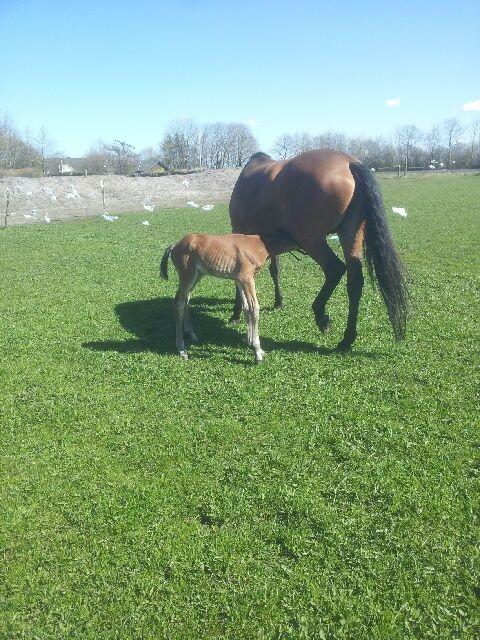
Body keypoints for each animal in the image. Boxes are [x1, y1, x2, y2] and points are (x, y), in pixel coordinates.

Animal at [160, 232, 288, 362]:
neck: (259, 244)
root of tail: (175, 245)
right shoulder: (247, 278)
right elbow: (254, 308)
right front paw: (257, 352)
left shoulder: (240, 279)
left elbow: (246, 307)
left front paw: (252, 344)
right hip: (187, 275)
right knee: (178, 304)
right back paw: (181, 348)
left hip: (197, 275)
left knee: (185, 299)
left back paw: (191, 334)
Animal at [230, 149, 408, 350]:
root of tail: (349, 163)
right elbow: (275, 271)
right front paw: (278, 302)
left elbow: (240, 277)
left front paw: (236, 313)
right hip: (350, 234)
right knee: (355, 280)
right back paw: (347, 338)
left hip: (312, 240)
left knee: (335, 269)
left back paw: (321, 314)